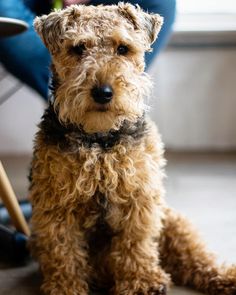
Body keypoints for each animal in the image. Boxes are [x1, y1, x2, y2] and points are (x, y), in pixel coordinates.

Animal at [29, 2, 236, 295]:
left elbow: (134, 244)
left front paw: (141, 283)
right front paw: (65, 287)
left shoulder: (138, 198)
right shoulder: (57, 206)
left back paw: (225, 277)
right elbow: (63, 251)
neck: (100, 141)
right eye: (78, 48)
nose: (103, 93)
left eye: (123, 48)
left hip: (172, 221)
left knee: (198, 259)